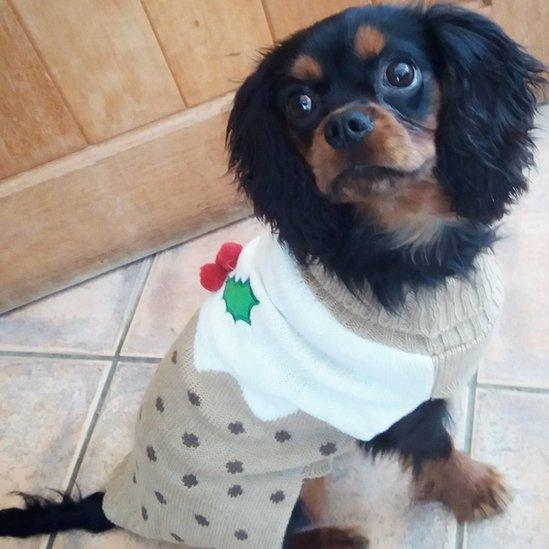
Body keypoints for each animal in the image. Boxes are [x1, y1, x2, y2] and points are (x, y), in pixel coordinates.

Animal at [0, 2, 540, 544]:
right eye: (300, 103)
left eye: (401, 73)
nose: (343, 126)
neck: (398, 237)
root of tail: (121, 500)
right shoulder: (394, 402)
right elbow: (436, 445)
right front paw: (474, 488)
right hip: (280, 491)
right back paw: (340, 538)